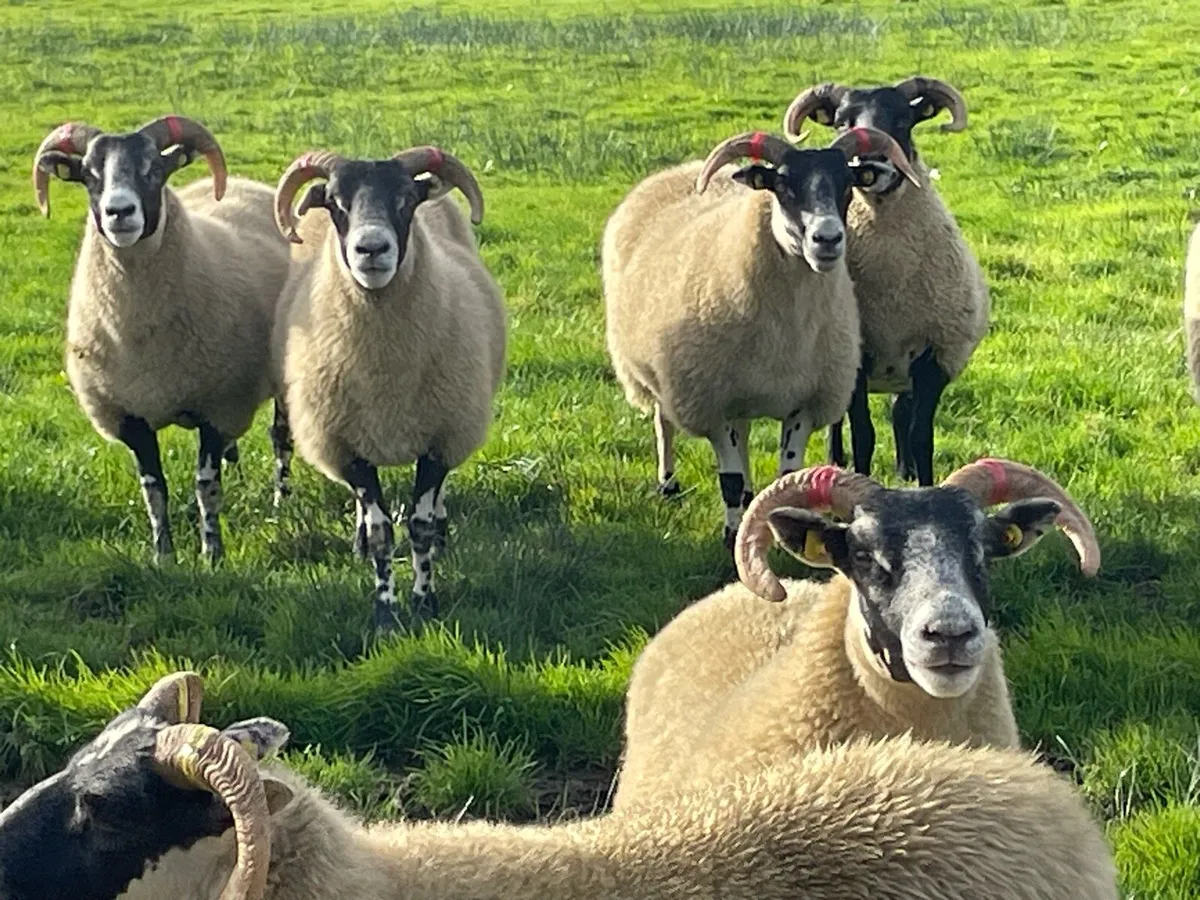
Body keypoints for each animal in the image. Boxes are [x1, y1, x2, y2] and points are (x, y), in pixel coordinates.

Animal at [33, 116, 293, 563]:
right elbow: (154, 490)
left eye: (152, 169)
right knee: (235, 450)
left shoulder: (216, 407)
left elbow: (206, 486)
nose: (119, 212)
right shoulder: (129, 416)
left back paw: (280, 504)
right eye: (90, 175)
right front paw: (163, 556)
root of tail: (244, 184)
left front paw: (212, 553)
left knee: (280, 439)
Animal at [270, 146, 506, 632]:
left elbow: (419, 525)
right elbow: (381, 531)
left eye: (405, 200)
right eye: (336, 202)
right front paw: (385, 613)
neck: (386, 379)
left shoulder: (440, 438)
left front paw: (424, 602)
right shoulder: (346, 445)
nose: (372, 248)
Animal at [603, 128, 920, 547]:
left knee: (743, 432)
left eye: (848, 183)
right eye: (782, 184)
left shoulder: (805, 403)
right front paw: (731, 535)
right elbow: (729, 481)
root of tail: (678, 170)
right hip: (660, 373)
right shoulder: (712, 402)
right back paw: (668, 483)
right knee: (663, 421)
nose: (827, 239)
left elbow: (786, 477)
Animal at [782, 78, 989, 485]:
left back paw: (904, 469)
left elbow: (921, 435)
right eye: (842, 123)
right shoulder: (858, 359)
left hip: (900, 372)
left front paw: (923, 482)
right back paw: (835, 460)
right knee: (838, 420)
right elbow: (863, 434)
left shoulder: (932, 359)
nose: (869, 162)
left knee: (898, 411)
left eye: (903, 120)